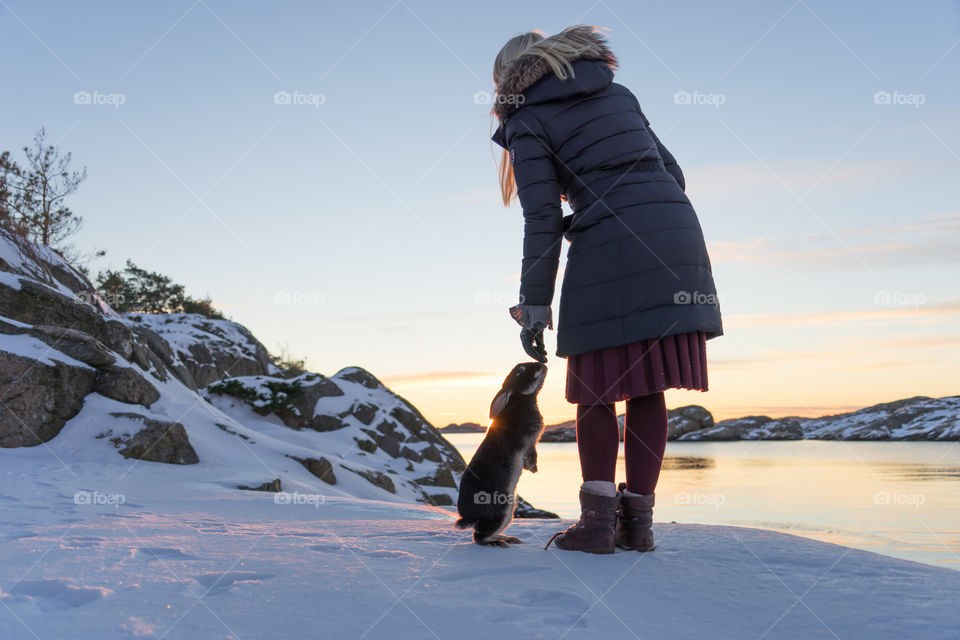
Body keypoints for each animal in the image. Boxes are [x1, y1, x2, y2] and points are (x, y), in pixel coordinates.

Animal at [455, 362, 547, 547]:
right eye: (520, 371)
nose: (542, 365)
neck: (520, 400)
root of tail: (468, 518)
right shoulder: (527, 444)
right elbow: (531, 454)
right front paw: (533, 468)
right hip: (501, 510)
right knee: (479, 536)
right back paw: (499, 543)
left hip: (508, 512)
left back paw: (509, 539)